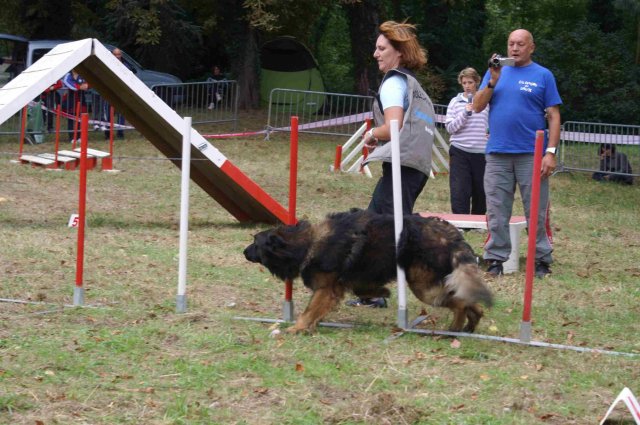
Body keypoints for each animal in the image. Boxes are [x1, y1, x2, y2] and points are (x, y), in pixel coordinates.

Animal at [242, 210, 492, 332]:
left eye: (255, 242)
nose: (243, 252)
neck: (307, 243)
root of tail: (451, 234)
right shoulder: (344, 284)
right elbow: (360, 289)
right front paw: (382, 293)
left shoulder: (326, 289)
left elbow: (309, 311)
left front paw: (297, 328)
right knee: (470, 301)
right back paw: (469, 326)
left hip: (423, 288)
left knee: (459, 302)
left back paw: (456, 326)